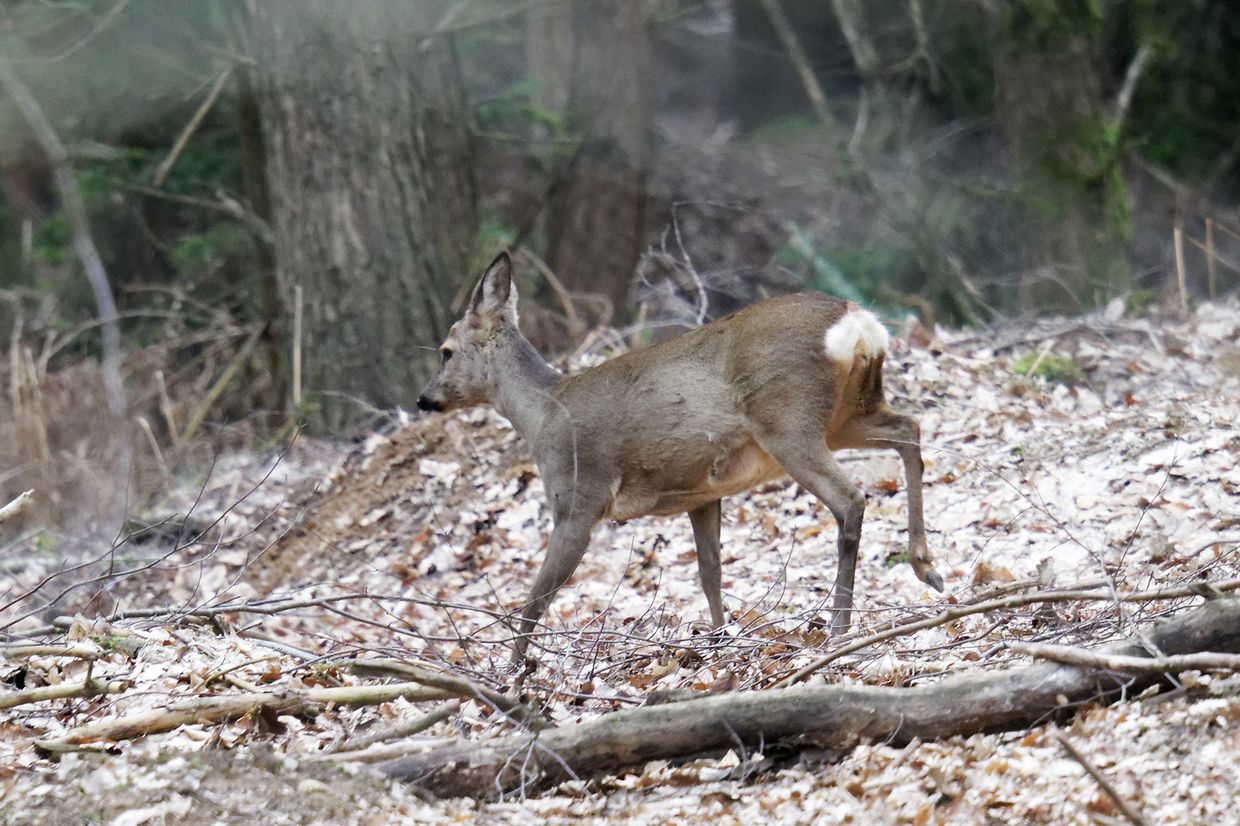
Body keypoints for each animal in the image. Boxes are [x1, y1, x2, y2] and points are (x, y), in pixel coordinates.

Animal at [416, 252, 944, 660]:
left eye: (445, 351)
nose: (424, 399)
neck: (542, 411)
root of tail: (857, 322)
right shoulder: (702, 494)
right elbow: (710, 573)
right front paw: (721, 640)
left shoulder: (576, 497)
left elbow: (536, 597)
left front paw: (513, 674)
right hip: (846, 416)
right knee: (910, 430)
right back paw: (926, 565)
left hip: (789, 421)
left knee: (851, 498)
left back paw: (840, 624)